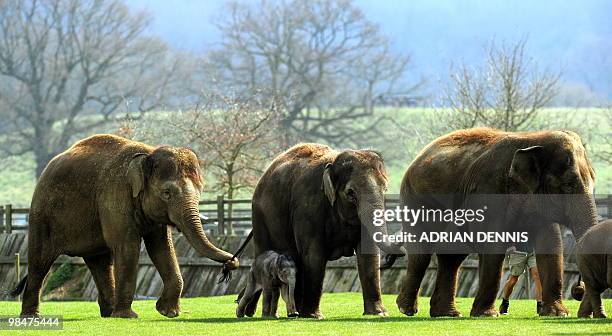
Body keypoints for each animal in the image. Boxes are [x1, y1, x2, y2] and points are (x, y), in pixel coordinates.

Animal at [12, 135, 239, 318]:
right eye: (167, 193)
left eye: (200, 191)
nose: (233, 262)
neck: (147, 153)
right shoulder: (115, 196)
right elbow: (127, 247)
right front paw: (128, 316)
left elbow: (162, 248)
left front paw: (168, 313)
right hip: (41, 216)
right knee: (40, 262)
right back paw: (31, 317)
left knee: (100, 262)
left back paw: (108, 313)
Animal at [244, 143, 396, 318]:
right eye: (351, 193)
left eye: (385, 189)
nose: (389, 259)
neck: (333, 162)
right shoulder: (308, 207)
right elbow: (314, 255)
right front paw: (313, 316)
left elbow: (368, 253)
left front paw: (378, 314)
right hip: (260, 218)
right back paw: (253, 312)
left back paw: (294, 313)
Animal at [390, 128, 596, 318]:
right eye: (568, 186)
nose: (579, 289)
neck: (533, 138)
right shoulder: (487, 191)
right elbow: (493, 245)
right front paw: (487, 314)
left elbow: (550, 245)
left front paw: (557, 313)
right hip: (416, 198)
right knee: (422, 252)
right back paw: (406, 309)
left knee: (451, 254)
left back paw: (447, 314)